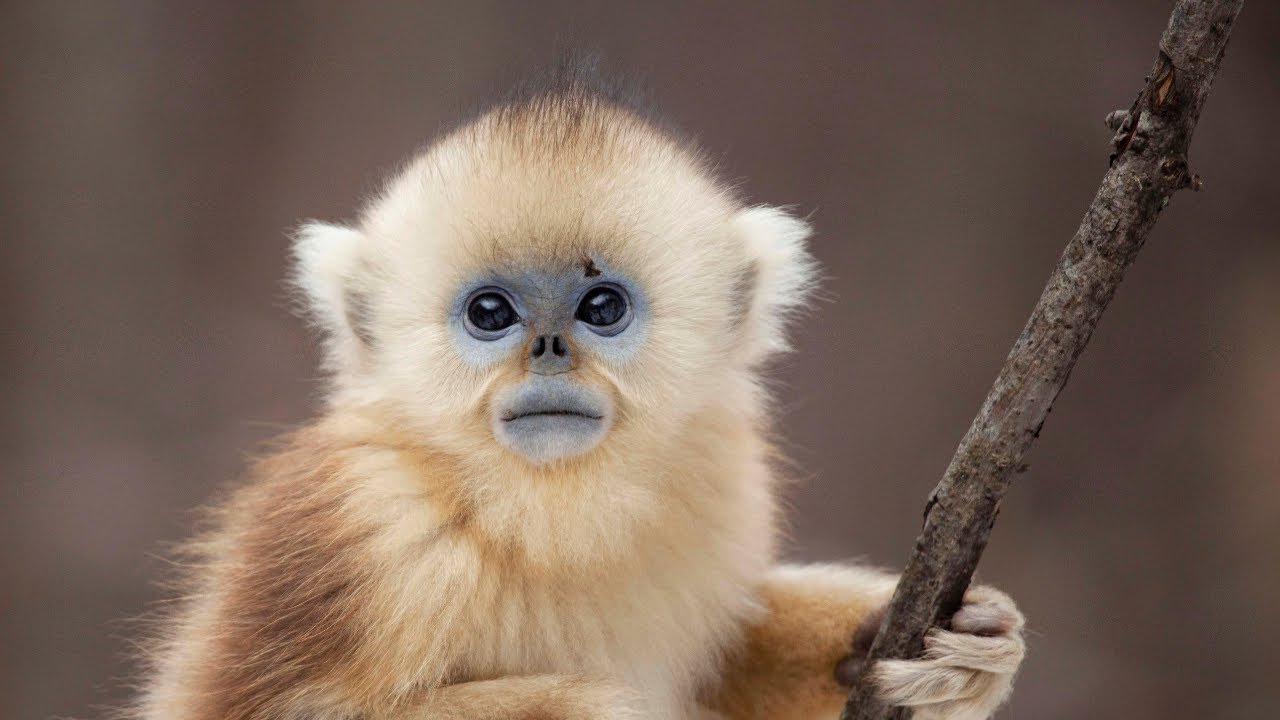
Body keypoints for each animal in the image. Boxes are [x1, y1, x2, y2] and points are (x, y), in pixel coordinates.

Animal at [131, 63, 1025, 720]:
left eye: (602, 308)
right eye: (490, 313)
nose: (550, 351)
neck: (540, 503)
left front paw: (918, 642)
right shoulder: (363, 527)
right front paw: (569, 707)